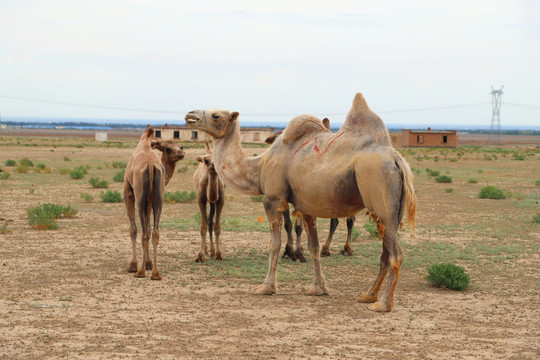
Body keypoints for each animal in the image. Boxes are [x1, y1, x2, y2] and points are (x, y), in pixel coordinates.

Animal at [124, 128, 186, 280]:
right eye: (168, 148)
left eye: (180, 146)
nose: (181, 153)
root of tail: (151, 165)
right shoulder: (150, 200)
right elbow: (149, 227)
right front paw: (148, 263)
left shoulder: (128, 192)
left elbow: (134, 229)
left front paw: (133, 265)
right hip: (159, 198)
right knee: (155, 232)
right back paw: (156, 273)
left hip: (140, 197)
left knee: (143, 233)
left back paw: (139, 272)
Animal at [264, 119, 356, 260]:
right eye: (273, 141)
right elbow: (288, 224)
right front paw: (288, 251)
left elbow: (299, 226)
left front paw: (298, 254)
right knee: (335, 220)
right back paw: (326, 249)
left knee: (349, 220)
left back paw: (347, 248)